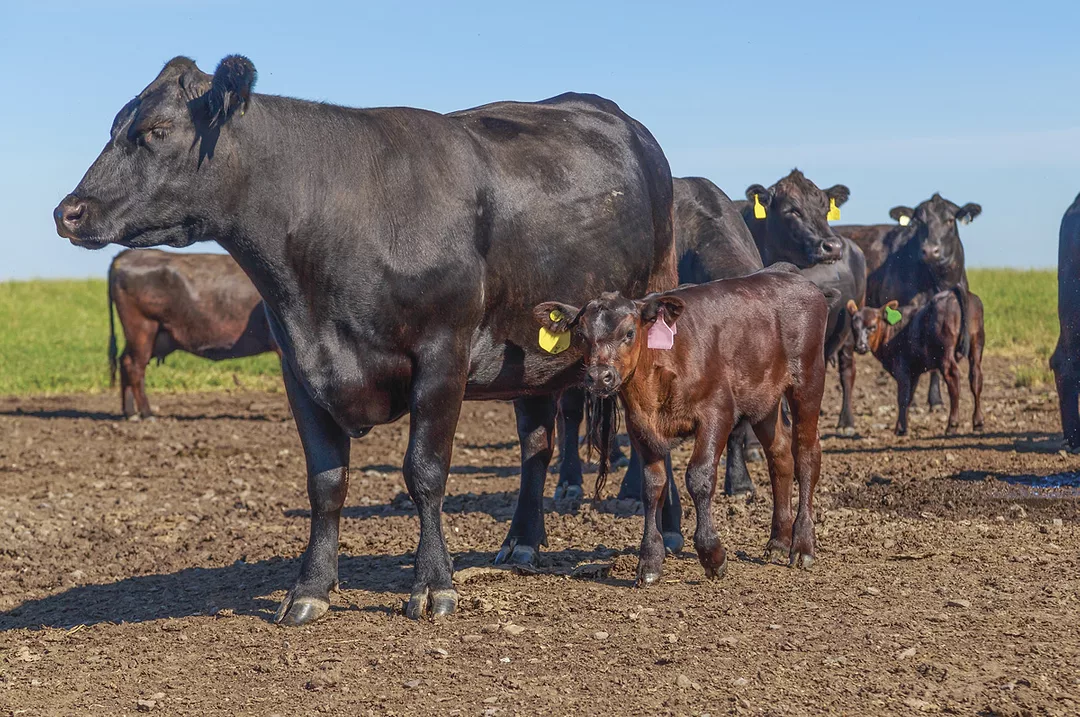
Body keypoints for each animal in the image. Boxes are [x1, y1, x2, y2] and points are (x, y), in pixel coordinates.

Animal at [107, 249, 278, 419]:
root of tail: (126, 254)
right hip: (143, 327)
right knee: (135, 367)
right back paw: (147, 414)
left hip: (152, 337)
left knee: (125, 360)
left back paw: (130, 412)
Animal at [534, 265, 830, 584]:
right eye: (581, 335)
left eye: (629, 333)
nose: (600, 376)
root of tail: (789, 273)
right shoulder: (640, 427)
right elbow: (652, 486)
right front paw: (650, 560)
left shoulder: (717, 411)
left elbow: (699, 476)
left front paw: (712, 554)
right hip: (764, 400)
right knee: (780, 455)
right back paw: (778, 542)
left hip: (808, 381)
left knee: (806, 454)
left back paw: (802, 545)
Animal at [740, 170, 865, 435]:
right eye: (792, 210)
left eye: (826, 209)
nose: (832, 246)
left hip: (852, 325)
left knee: (847, 370)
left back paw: (846, 421)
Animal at [848, 287, 985, 436]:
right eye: (854, 327)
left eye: (872, 327)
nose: (860, 346)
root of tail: (953, 292)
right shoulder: (914, 371)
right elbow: (909, 396)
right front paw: (902, 426)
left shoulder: (902, 369)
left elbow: (903, 398)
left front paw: (900, 429)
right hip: (977, 343)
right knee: (976, 378)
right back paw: (978, 423)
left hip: (946, 353)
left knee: (953, 378)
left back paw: (952, 425)